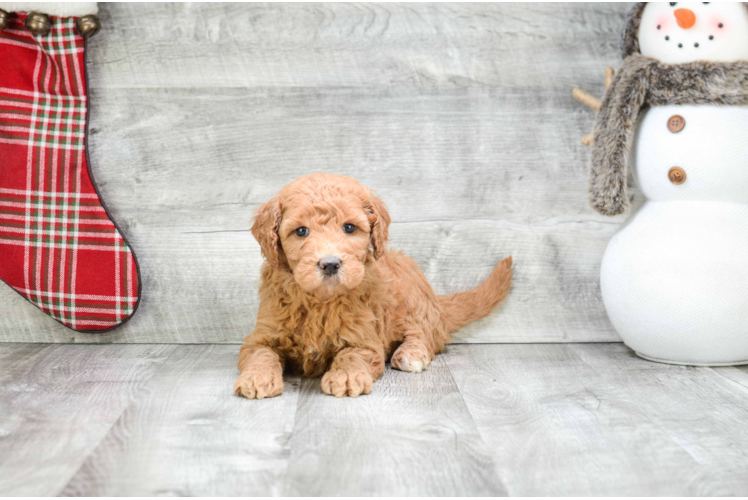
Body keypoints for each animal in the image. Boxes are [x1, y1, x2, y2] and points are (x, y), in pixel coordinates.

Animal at [235, 174, 516, 400]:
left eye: (349, 227)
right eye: (301, 231)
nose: (330, 264)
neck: (320, 301)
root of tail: (435, 300)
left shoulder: (364, 339)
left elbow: (352, 355)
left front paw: (346, 377)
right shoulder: (262, 335)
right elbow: (261, 354)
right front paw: (257, 378)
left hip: (413, 295)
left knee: (425, 333)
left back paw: (411, 354)